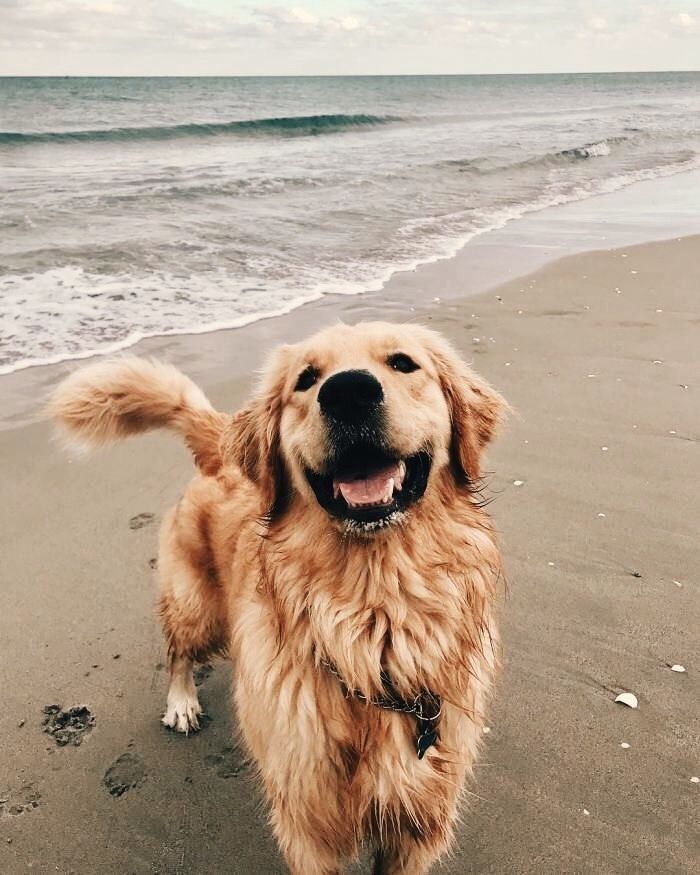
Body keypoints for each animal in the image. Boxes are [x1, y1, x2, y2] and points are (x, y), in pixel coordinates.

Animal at [52, 324, 506, 875]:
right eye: (306, 379)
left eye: (403, 363)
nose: (348, 392)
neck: (373, 618)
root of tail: (220, 448)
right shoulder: (307, 825)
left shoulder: (417, 825)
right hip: (199, 609)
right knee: (178, 649)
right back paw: (181, 703)